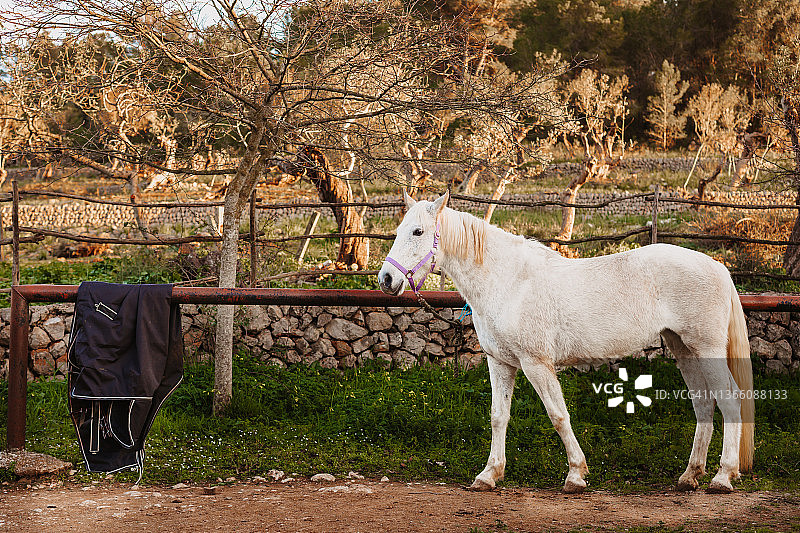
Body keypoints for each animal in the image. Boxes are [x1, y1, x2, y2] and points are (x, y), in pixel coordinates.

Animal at [378, 189, 752, 492]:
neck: (508, 281)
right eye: (398, 231)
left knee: (729, 400)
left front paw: (575, 475)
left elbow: (558, 415)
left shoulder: (536, 364)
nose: (386, 279)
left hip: (707, 349)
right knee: (704, 403)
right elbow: (499, 416)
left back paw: (722, 476)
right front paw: (489, 475)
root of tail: (719, 268)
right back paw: (691, 475)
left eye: (418, 231)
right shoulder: (500, 363)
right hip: (684, 349)